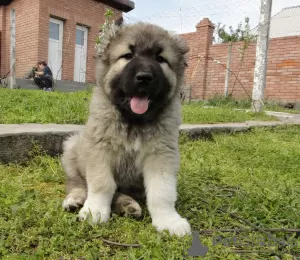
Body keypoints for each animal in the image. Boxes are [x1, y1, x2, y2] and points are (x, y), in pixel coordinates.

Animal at [61, 17, 191, 237]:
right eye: (128, 56)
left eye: (160, 59)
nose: (144, 77)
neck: (134, 122)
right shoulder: (99, 150)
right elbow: (102, 184)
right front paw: (94, 210)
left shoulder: (162, 154)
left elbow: (162, 191)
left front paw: (168, 220)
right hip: (73, 146)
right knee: (78, 183)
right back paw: (75, 199)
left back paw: (127, 205)